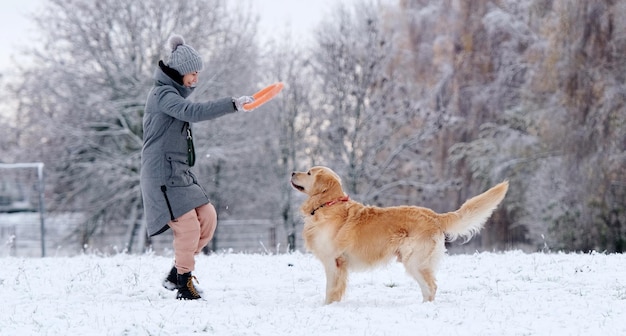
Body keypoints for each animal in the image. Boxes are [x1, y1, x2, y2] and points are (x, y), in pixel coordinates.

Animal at [290, 166, 510, 304]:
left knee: (431, 286)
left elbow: (330, 290)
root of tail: (434, 215)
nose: (292, 172)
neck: (326, 205)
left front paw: (328, 306)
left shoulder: (333, 262)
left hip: (415, 261)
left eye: (308, 172)